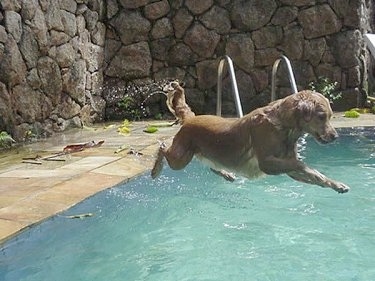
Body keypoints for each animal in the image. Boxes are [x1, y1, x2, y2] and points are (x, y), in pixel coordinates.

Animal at [151, 81, 352, 192]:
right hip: (180, 159)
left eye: (330, 116)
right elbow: (300, 164)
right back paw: (155, 169)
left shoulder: (286, 167)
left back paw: (227, 174)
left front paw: (336, 184)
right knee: (163, 148)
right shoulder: (266, 163)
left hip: (204, 154)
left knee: (211, 166)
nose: (335, 136)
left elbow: (313, 173)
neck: (283, 126)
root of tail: (191, 118)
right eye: (322, 116)